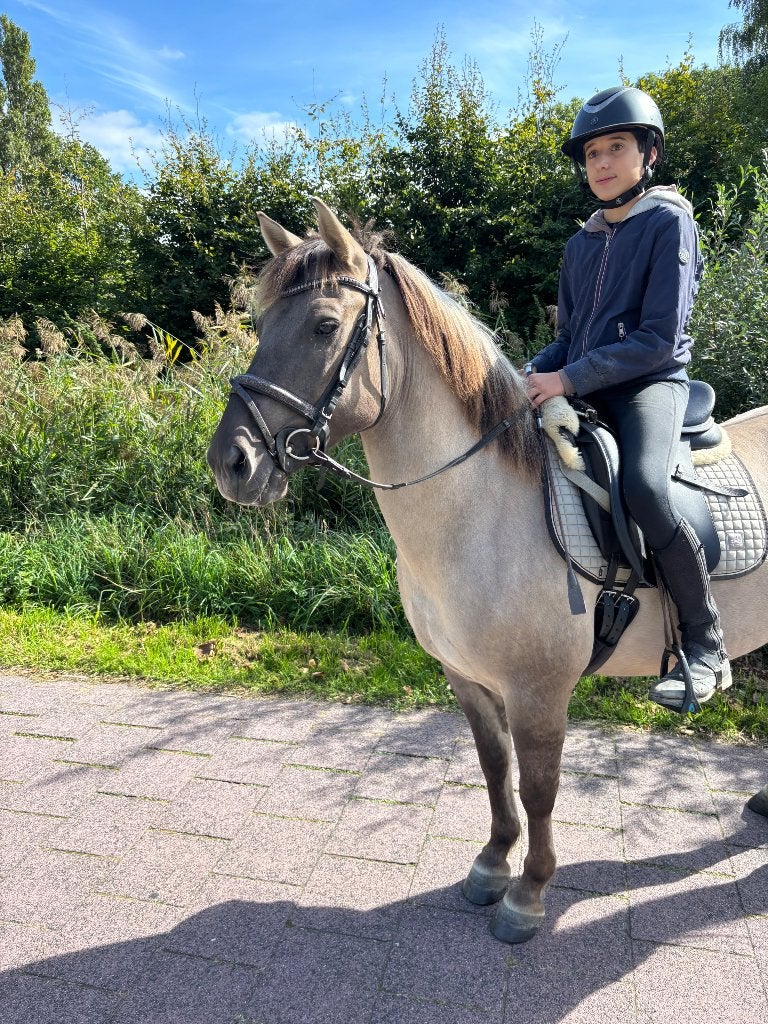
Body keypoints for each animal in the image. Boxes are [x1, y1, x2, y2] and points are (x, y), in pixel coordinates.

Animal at [207, 197, 768, 943]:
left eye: (325, 325)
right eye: (262, 323)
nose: (230, 462)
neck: (481, 516)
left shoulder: (539, 691)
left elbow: (539, 786)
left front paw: (528, 894)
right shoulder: (467, 679)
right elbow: (494, 766)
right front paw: (492, 864)